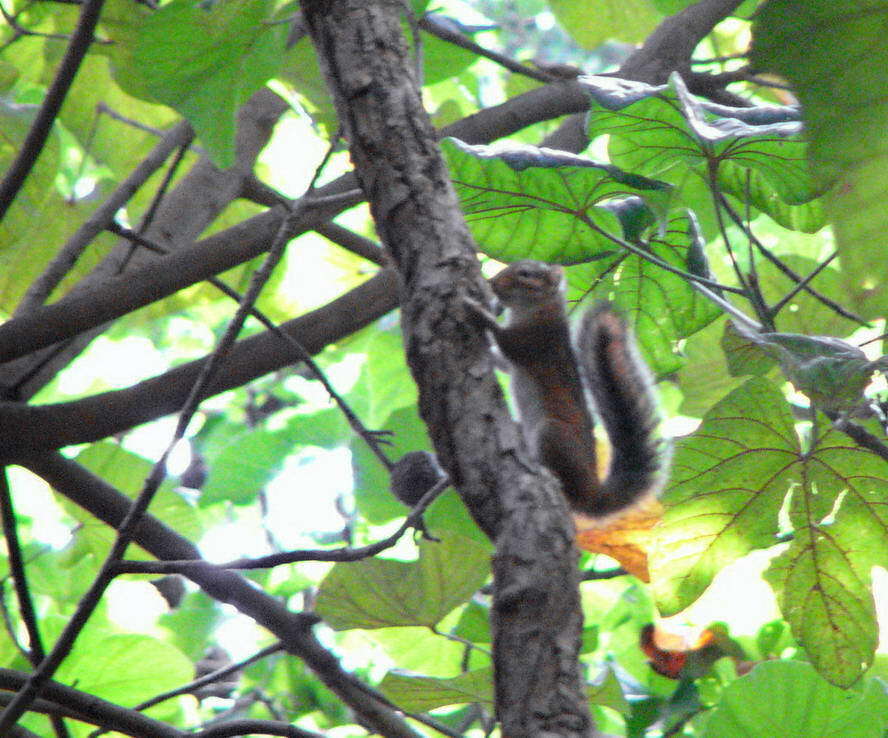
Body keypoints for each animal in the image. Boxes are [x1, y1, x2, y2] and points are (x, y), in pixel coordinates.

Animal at [468, 258, 664, 516]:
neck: (535, 307)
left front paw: (478, 312)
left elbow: (507, 342)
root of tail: (592, 493)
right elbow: (504, 363)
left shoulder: (536, 338)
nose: (491, 283)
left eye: (526, 274)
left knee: (566, 493)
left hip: (553, 434)